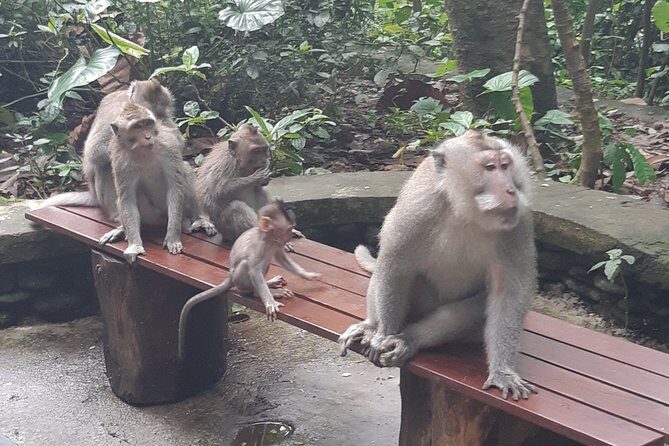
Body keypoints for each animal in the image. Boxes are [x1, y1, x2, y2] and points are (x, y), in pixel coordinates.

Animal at [177, 199, 321, 359]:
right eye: (288, 228)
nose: (290, 235)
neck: (268, 239)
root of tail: (230, 275)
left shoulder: (277, 244)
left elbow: (282, 259)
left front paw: (308, 275)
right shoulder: (259, 247)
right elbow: (254, 271)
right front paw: (270, 302)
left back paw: (270, 283)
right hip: (239, 278)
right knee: (247, 267)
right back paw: (259, 292)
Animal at [338, 130, 538, 401]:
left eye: (505, 165)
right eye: (490, 167)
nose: (511, 190)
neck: (465, 212)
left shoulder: (518, 222)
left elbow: (509, 294)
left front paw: (503, 371)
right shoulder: (417, 209)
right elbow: (394, 265)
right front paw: (382, 334)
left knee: (476, 305)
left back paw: (409, 339)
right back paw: (371, 327)